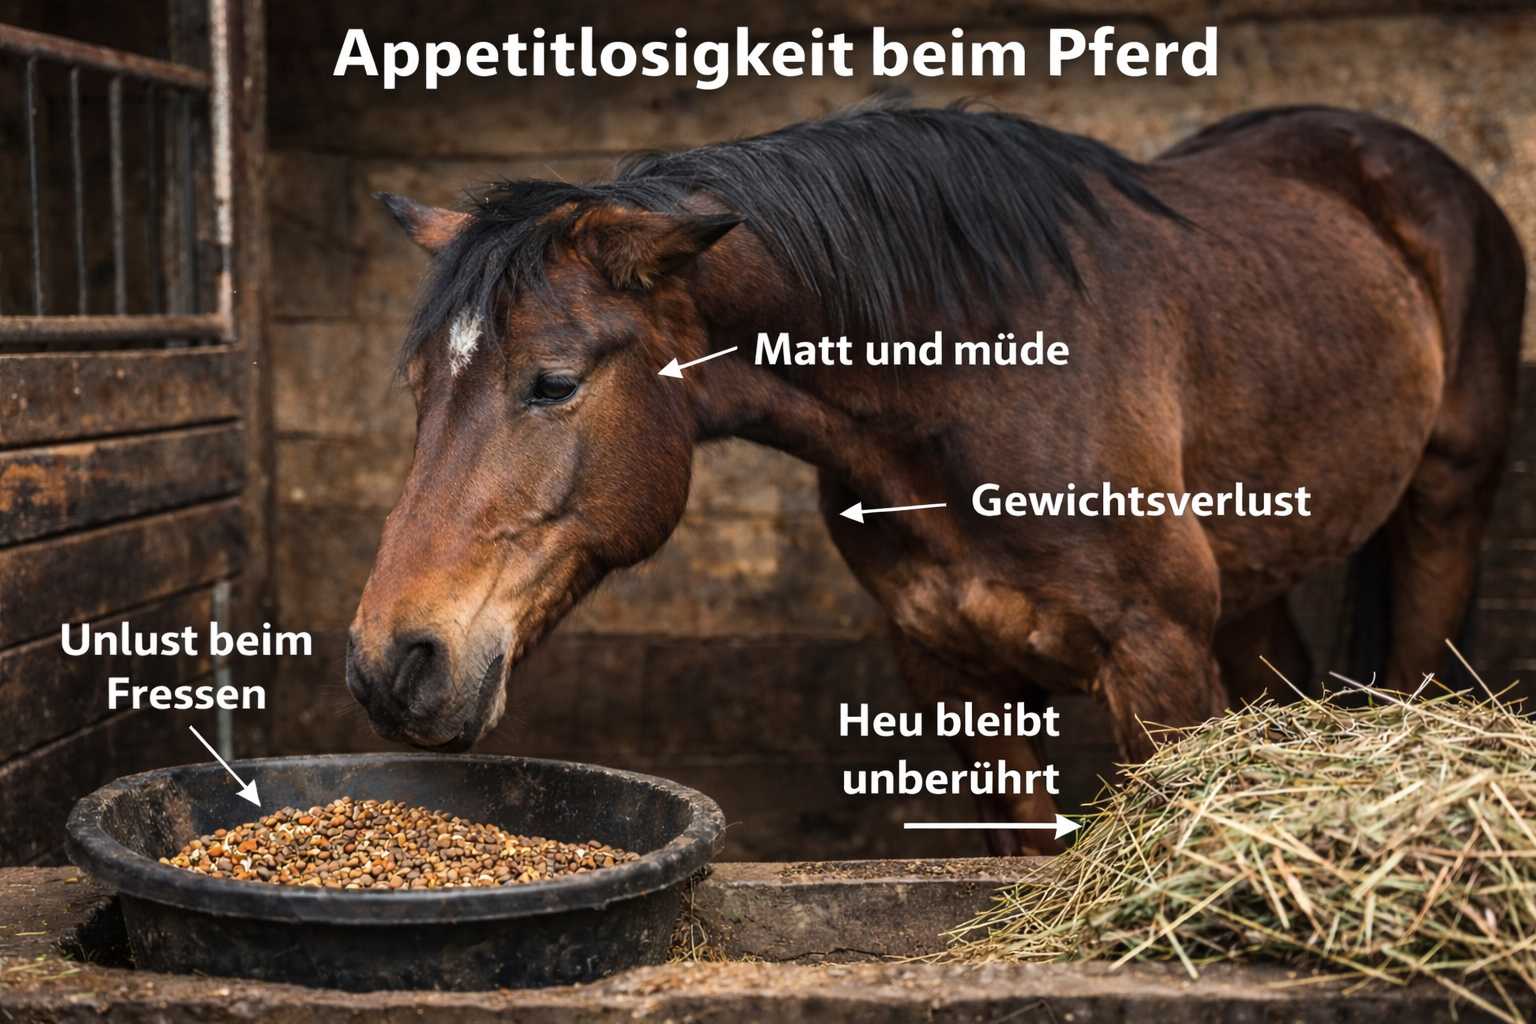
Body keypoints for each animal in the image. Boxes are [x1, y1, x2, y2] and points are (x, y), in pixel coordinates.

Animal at [345, 103, 1525, 854]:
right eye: (414, 384)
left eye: (551, 383)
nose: (391, 664)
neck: (975, 390)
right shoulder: (951, 669)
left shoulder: (1155, 659)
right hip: (1255, 577)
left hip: (1445, 509)